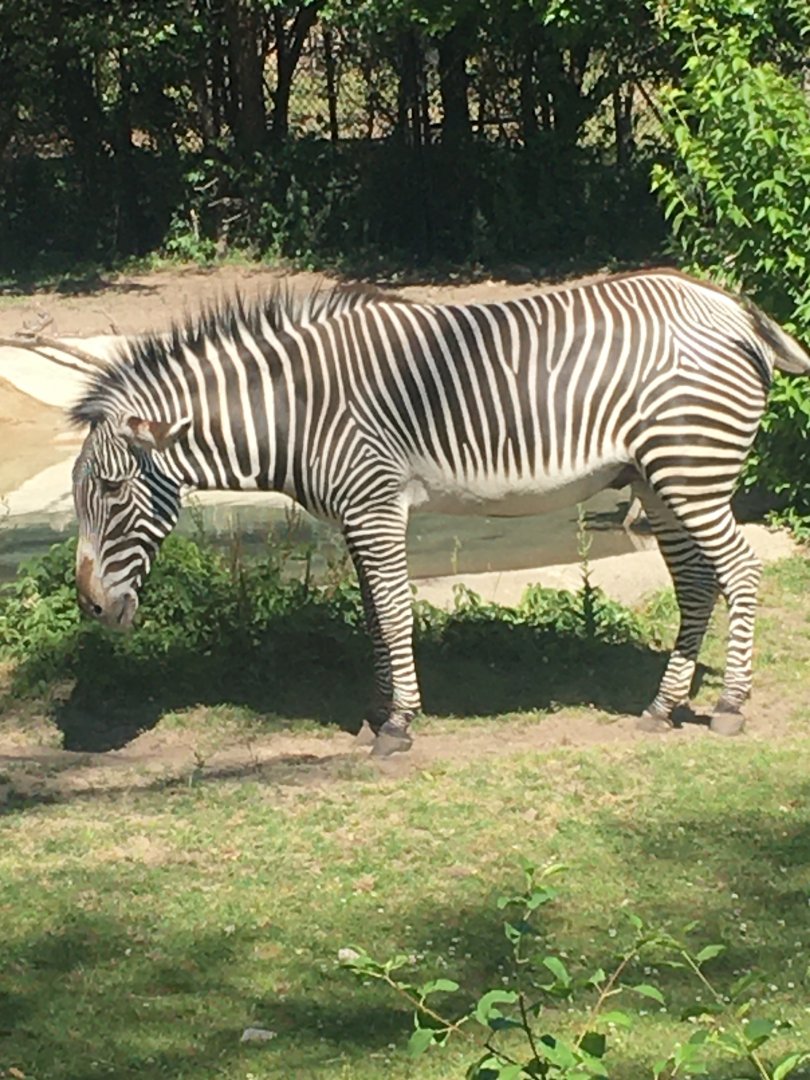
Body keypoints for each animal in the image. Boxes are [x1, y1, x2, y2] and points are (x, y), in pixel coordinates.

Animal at [70, 270, 810, 755]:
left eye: (113, 491)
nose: (92, 608)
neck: (298, 410)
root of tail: (728, 303)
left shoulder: (375, 505)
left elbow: (396, 612)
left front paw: (399, 725)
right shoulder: (355, 515)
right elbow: (373, 616)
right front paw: (375, 712)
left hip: (691, 468)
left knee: (740, 572)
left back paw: (728, 707)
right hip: (659, 479)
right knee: (698, 583)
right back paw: (661, 706)